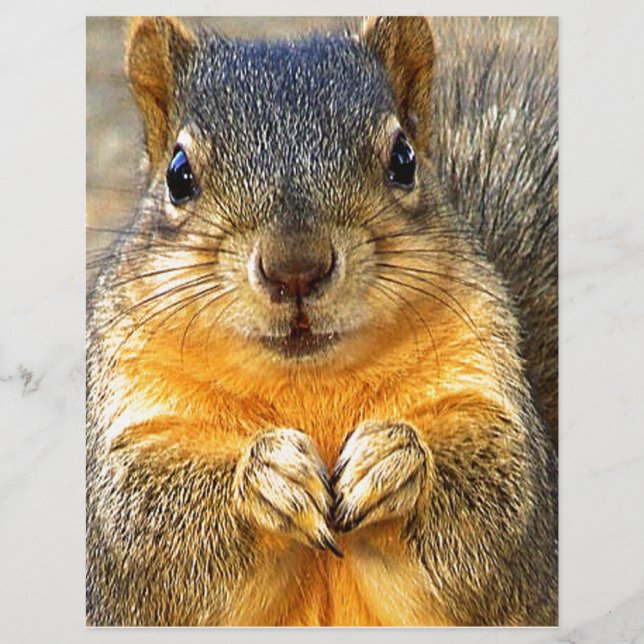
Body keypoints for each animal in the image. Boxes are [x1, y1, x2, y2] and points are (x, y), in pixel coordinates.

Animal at [86, 16, 558, 626]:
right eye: (179, 174)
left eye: (403, 159)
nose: (296, 268)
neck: (306, 382)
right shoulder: (132, 430)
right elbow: (140, 528)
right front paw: (266, 475)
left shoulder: (488, 396)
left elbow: (501, 515)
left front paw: (395, 460)